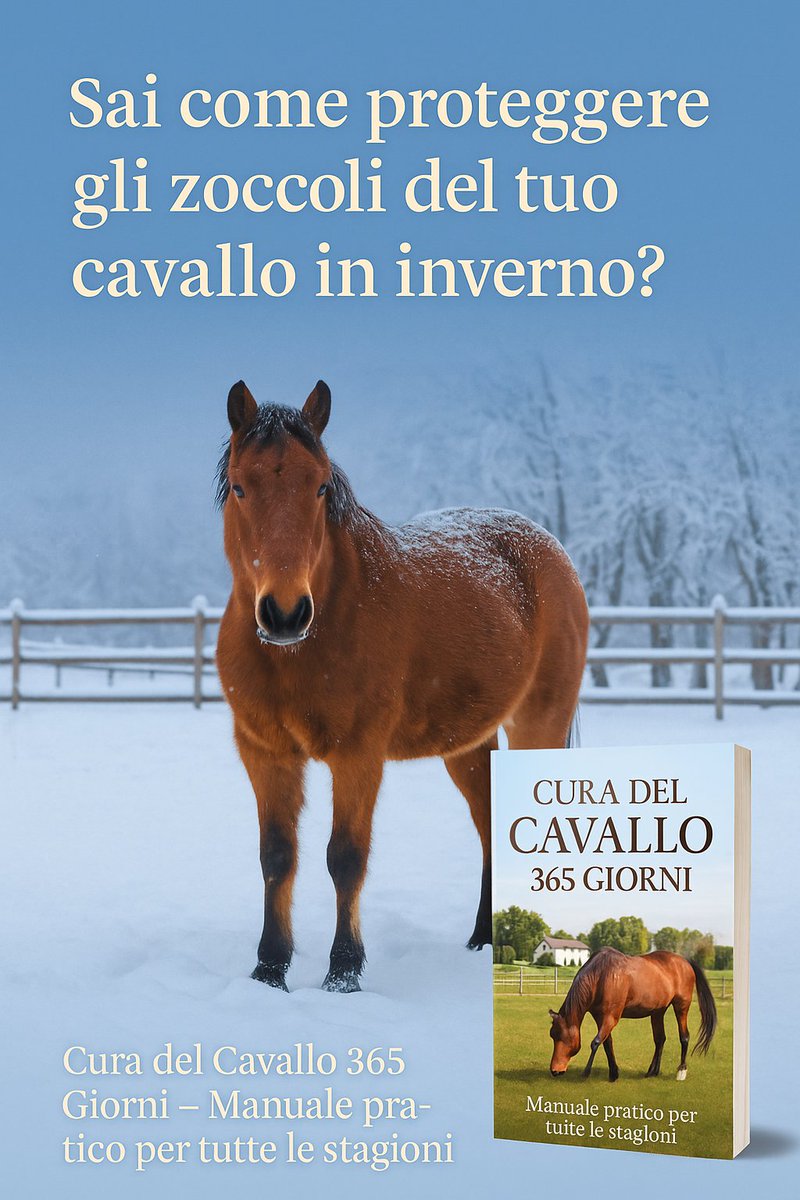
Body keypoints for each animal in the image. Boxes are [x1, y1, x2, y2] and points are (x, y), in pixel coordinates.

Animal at [215, 379, 589, 992]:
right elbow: (278, 856)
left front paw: (344, 971)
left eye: (320, 486)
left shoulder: (358, 754)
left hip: (540, 725)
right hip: (469, 744)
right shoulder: (264, 752)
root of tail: (550, 551)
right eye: (242, 487)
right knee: (489, 825)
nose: (285, 614)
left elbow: (345, 857)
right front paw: (269, 968)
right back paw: (481, 939)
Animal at [548, 947, 717, 1082]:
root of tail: (685, 962)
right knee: (660, 1040)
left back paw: (681, 1071)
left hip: (681, 1007)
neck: (601, 975)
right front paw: (614, 1073)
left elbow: (595, 1042)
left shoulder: (611, 1017)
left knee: (684, 1037)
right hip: (658, 1012)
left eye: (561, 1037)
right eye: (552, 1036)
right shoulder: (600, 1017)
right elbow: (607, 1043)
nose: (554, 1071)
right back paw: (652, 1071)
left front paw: (586, 1072)